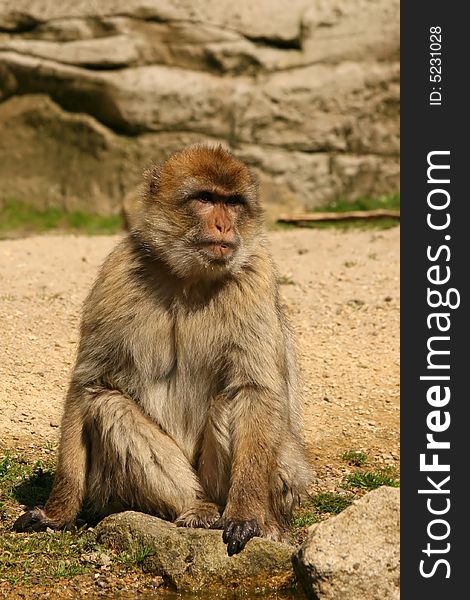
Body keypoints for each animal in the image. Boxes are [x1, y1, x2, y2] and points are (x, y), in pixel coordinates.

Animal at [12, 143, 310, 556]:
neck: (189, 278)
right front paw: (56, 514)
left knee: (231, 400)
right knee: (109, 405)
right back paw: (196, 507)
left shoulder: (257, 275)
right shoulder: (118, 272)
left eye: (233, 202)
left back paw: (243, 516)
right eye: (205, 199)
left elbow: (254, 390)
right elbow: (88, 384)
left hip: (283, 477)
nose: (225, 226)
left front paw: (245, 515)